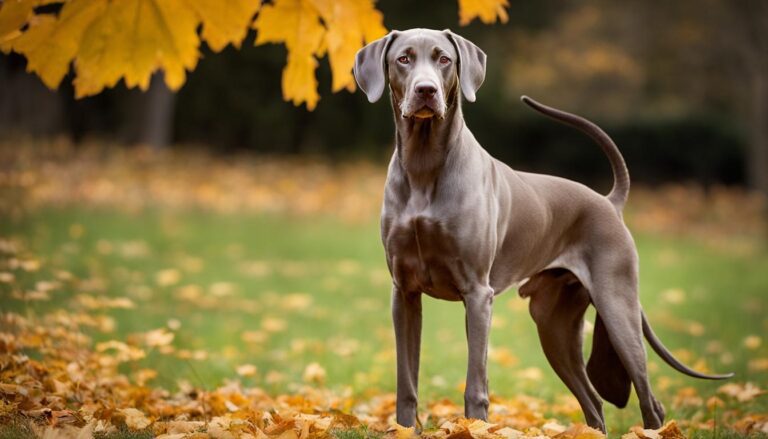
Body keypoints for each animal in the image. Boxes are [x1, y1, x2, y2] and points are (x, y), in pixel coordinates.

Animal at [354, 28, 732, 434]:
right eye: (403, 59)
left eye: (444, 60)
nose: (426, 90)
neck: (424, 166)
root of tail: (609, 200)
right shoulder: (404, 292)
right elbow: (406, 380)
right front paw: (404, 429)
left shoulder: (477, 293)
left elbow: (476, 383)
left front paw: (476, 427)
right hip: (553, 322)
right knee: (594, 401)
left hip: (618, 307)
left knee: (649, 398)